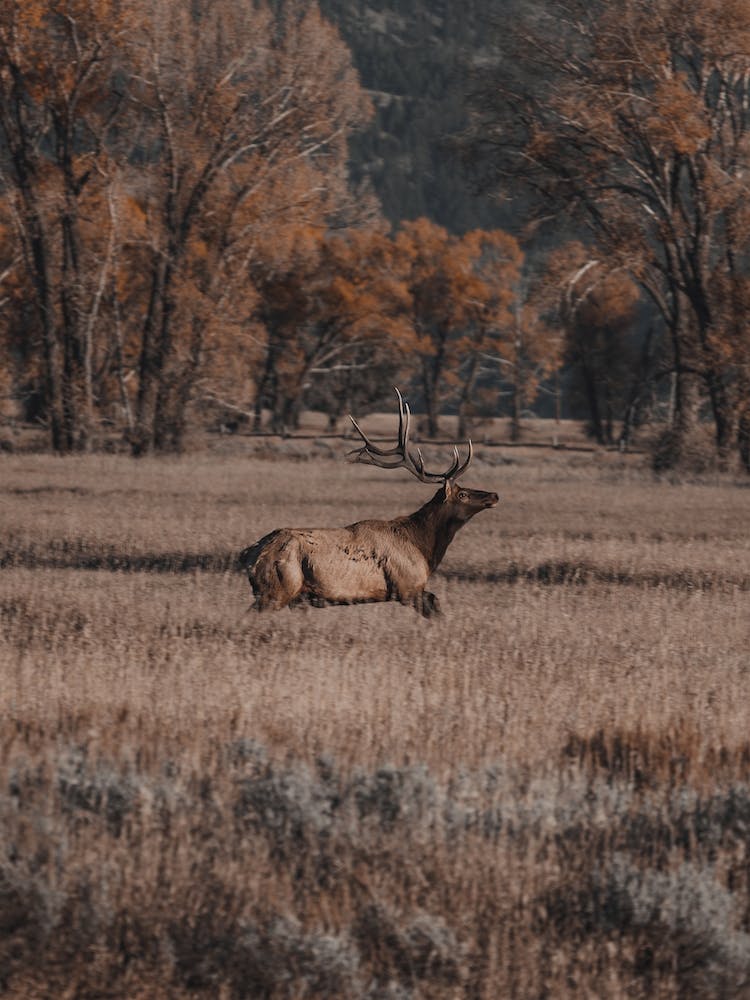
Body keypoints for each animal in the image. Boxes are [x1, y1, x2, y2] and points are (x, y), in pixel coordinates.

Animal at [238, 388, 499, 617]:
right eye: (462, 494)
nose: (494, 495)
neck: (424, 548)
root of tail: (250, 554)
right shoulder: (407, 587)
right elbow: (436, 607)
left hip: (292, 596)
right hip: (277, 589)